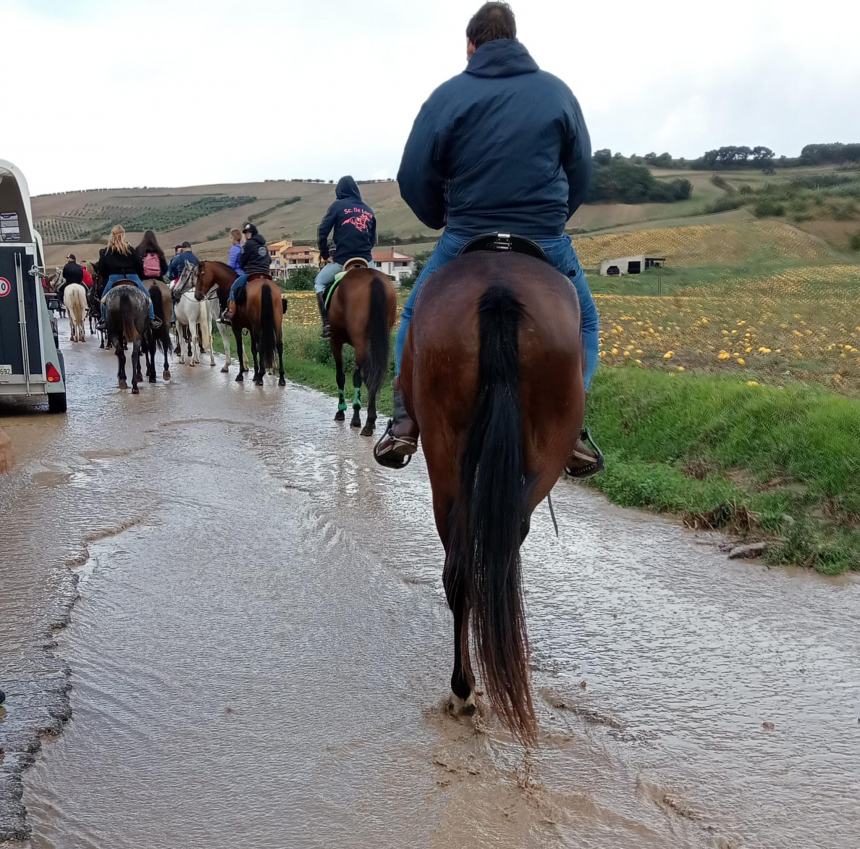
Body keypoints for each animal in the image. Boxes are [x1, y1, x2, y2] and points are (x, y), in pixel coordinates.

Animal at [328, 266, 398, 438]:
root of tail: (373, 278)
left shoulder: (335, 341)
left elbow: (340, 376)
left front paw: (341, 411)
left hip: (360, 343)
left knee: (357, 376)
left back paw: (358, 419)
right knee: (372, 376)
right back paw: (370, 422)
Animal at [400, 252, 588, 744]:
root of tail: (499, 290)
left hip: (450, 460)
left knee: (465, 568)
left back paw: (465, 688)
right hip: (532, 457)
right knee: (481, 562)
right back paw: (467, 689)